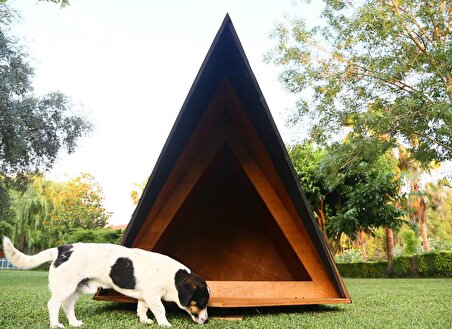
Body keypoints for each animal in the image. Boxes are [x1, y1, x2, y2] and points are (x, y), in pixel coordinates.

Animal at [1, 237, 210, 326]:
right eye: (200, 302)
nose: (207, 321)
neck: (173, 277)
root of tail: (61, 249)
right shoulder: (153, 296)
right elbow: (160, 310)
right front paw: (164, 323)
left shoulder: (144, 297)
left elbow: (142, 309)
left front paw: (145, 321)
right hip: (64, 288)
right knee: (53, 305)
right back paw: (56, 325)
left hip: (76, 290)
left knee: (67, 306)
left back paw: (74, 323)